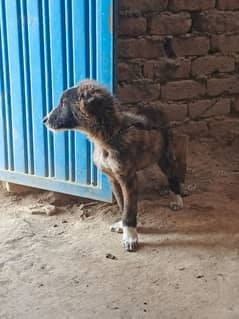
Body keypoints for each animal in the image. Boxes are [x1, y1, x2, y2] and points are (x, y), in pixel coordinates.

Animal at [43, 79, 185, 252]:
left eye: (63, 103)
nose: (44, 120)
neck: (107, 138)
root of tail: (155, 106)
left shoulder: (127, 178)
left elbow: (129, 209)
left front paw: (130, 236)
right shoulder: (112, 177)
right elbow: (122, 203)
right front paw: (122, 226)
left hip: (165, 156)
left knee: (173, 176)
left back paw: (177, 199)